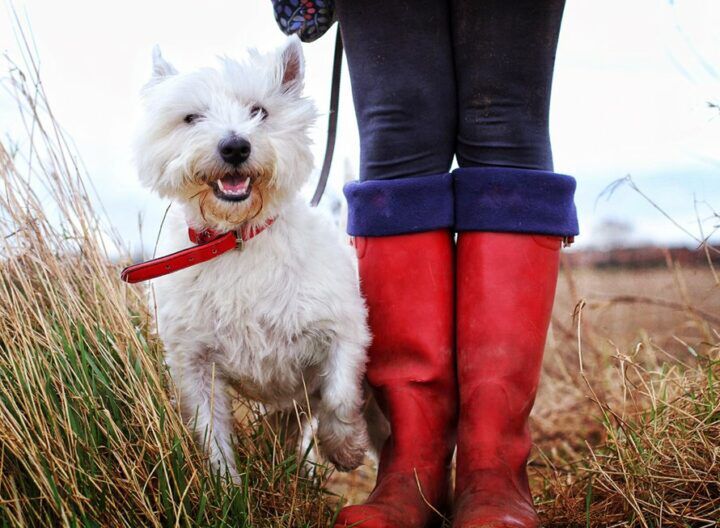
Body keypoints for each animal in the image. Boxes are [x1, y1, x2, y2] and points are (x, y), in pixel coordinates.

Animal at [134, 37, 372, 478]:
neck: (236, 239)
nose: (235, 146)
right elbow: (210, 432)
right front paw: (226, 485)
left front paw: (345, 448)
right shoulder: (194, 362)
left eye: (259, 111)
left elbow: (339, 394)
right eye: (191, 118)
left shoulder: (343, 328)